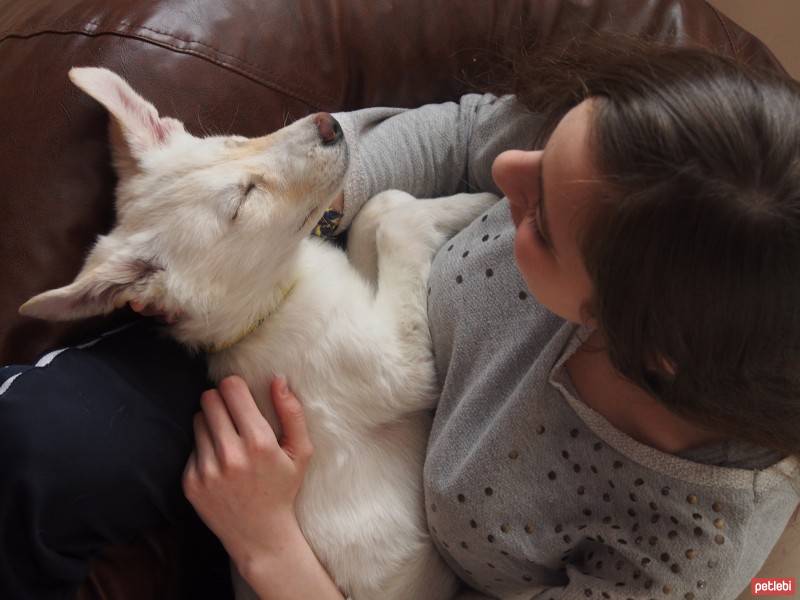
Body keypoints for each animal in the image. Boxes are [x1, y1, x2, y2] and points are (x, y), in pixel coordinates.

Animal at [18, 68, 496, 596]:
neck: (271, 305)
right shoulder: (399, 366)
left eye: (232, 141)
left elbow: (379, 207)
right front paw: (491, 199)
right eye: (243, 201)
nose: (330, 124)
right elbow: (396, 218)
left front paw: (476, 198)